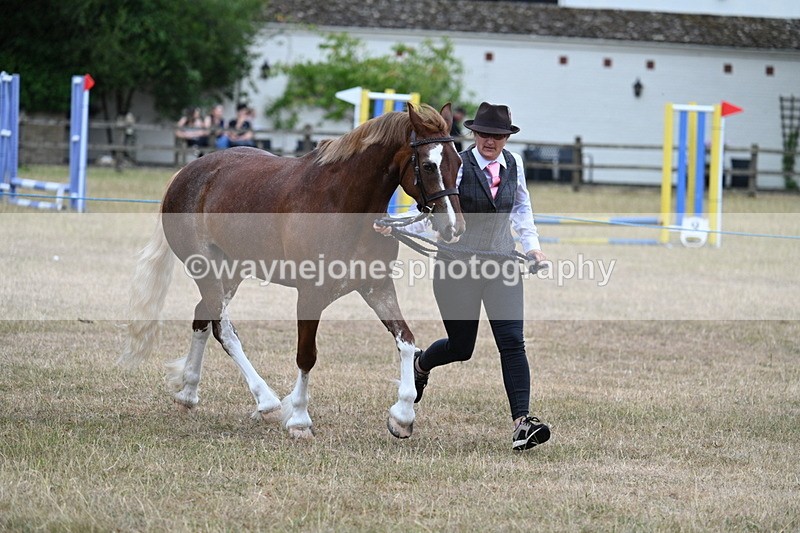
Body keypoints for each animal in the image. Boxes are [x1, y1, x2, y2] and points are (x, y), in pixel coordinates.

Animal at [120, 103, 465, 440]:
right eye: (429, 165)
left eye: (458, 162)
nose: (454, 228)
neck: (342, 204)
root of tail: (186, 173)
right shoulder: (310, 294)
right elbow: (306, 355)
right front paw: (299, 419)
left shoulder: (377, 287)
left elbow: (406, 341)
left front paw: (402, 416)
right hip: (205, 268)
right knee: (223, 329)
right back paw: (266, 401)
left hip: (229, 272)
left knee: (202, 318)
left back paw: (189, 393)